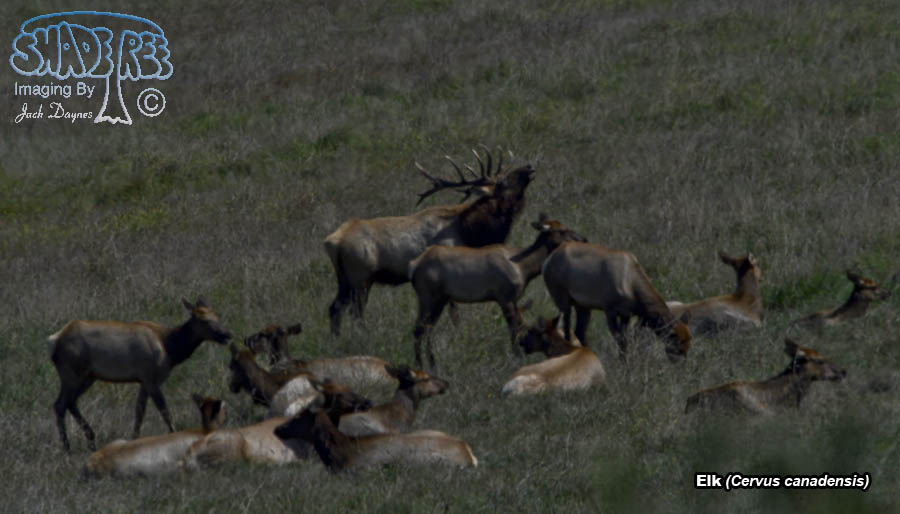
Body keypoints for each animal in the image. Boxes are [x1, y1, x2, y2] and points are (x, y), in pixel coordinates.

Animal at [48, 297, 232, 452]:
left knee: (70, 402)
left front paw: (133, 440)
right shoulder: (151, 379)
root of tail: (54, 340)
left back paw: (89, 440)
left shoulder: (143, 381)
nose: (226, 334)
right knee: (60, 404)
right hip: (72, 373)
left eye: (216, 316)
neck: (170, 349)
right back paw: (67, 447)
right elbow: (165, 412)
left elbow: (139, 413)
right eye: (203, 320)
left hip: (88, 377)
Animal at [325, 148, 535, 335]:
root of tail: (333, 241)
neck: (470, 231)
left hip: (345, 279)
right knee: (356, 313)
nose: (529, 167)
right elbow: (454, 311)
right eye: (503, 182)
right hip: (361, 278)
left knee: (334, 309)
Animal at [408, 214, 586, 369]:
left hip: (441, 299)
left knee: (428, 329)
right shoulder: (504, 297)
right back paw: (419, 365)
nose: (583, 239)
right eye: (562, 230)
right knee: (418, 329)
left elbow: (519, 326)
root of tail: (414, 266)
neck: (524, 268)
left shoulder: (513, 299)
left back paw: (433, 364)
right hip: (427, 296)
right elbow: (514, 329)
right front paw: (517, 359)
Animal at [541, 242, 691, 363]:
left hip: (583, 307)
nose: (681, 364)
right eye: (678, 344)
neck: (630, 282)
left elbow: (625, 339)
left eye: (688, 343)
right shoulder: (610, 311)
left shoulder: (626, 315)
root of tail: (548, 261)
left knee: (580, 332)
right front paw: (623, 362)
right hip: (563, 301)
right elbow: (619, 339)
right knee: (567, 330)